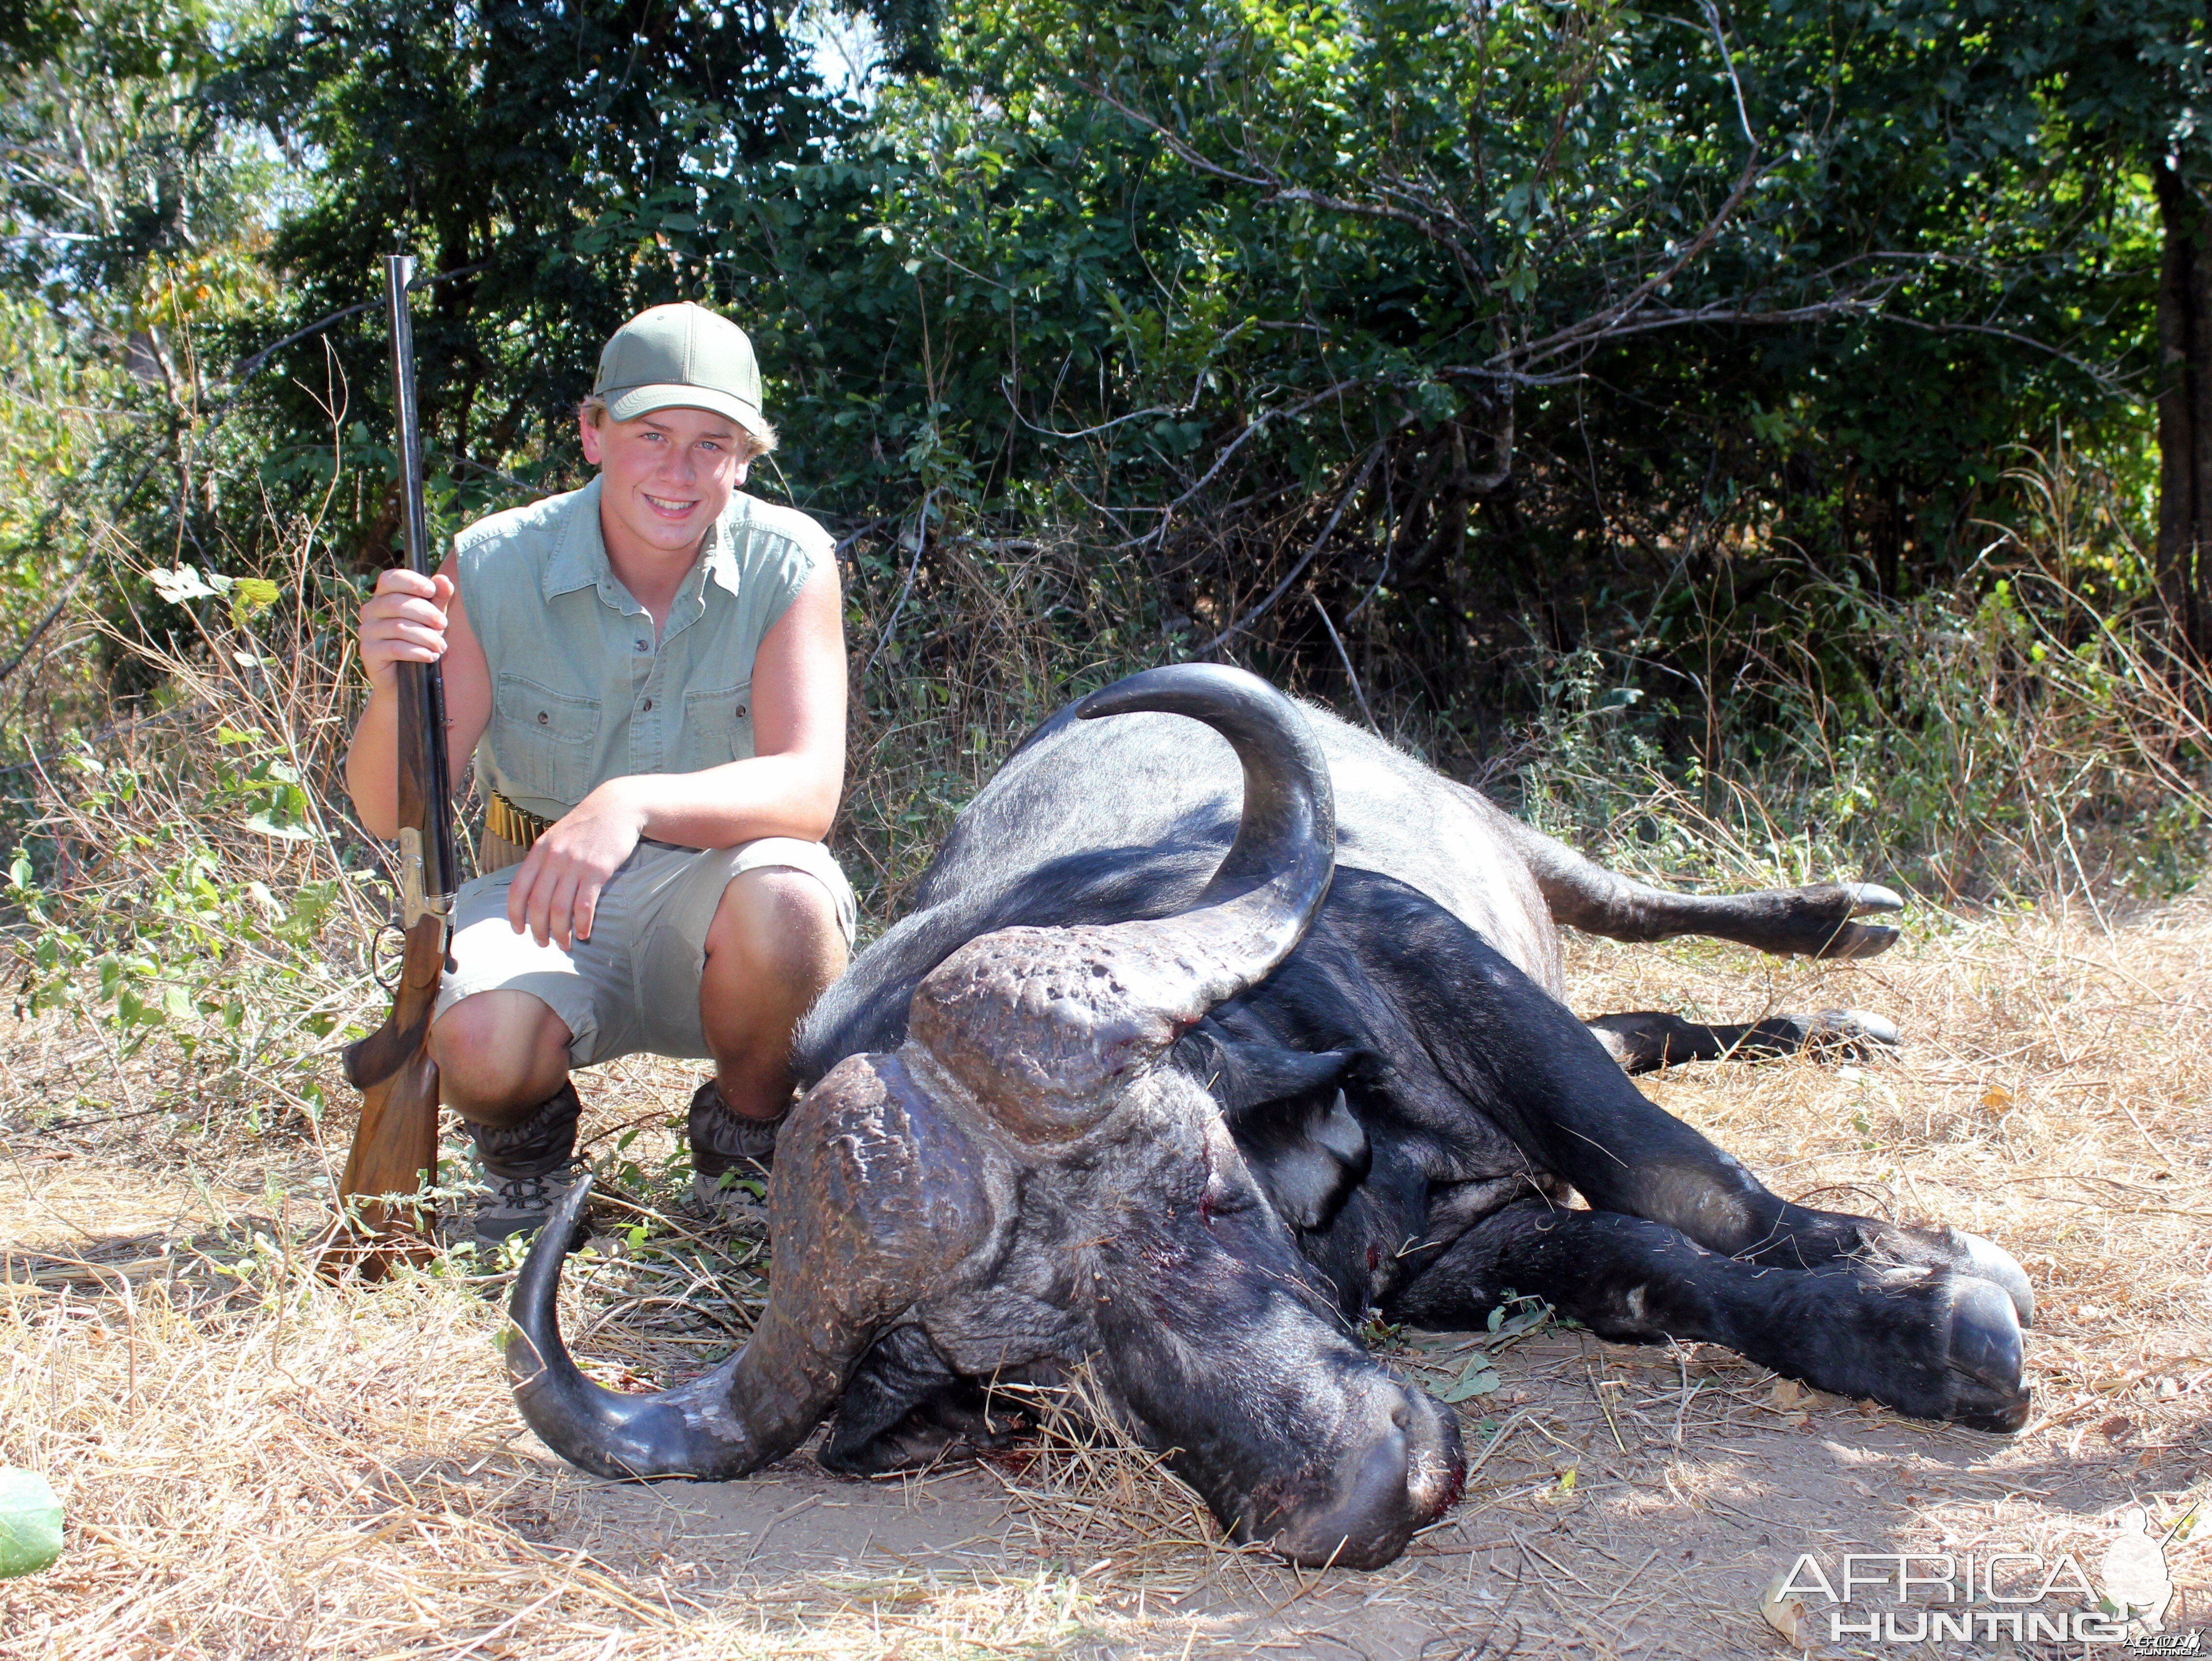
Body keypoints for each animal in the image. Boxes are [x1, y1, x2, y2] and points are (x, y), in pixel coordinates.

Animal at [508, 659, 2026, 1575]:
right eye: (1041, 1378)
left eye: (1209, 1187)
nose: (1364, 1495)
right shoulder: (1462, 1256)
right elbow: (1637, 1263)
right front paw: (1893, 1324)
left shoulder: (1446, 969)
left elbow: (1680, 1178)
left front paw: (1925, 1289)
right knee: (1642, 1021)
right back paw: (1821, 1026)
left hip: (1518, 843)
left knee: (1643, 915)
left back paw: (1838, 926)